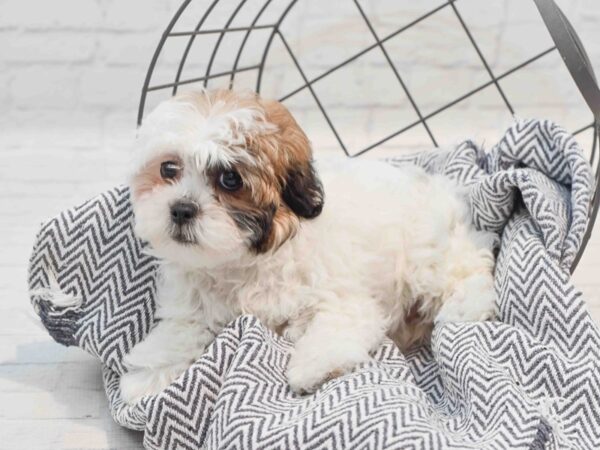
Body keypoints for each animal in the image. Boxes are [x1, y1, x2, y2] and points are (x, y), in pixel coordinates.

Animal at [119, 89, 494, 402]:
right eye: (169, 168)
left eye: (230, 179)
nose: (181, 209)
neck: (243, 262)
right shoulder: (195, 306)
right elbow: (181, 332)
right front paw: (148, 375)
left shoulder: (342, 297)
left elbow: (336, 325)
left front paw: (314, 367)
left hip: (426, 253)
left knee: (469, 270)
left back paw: (467, 306)